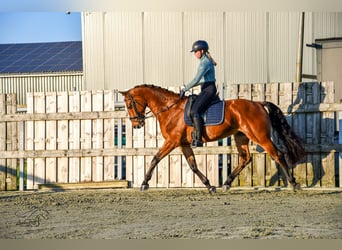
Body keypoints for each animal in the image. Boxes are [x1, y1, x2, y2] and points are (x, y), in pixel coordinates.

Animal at [119, 84, 306, 193]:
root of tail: (258, 103)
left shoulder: (172, 141)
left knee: (278, 155)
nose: (137, 125)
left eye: (129, 104)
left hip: (260, 136)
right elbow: (193, 166)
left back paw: (293, 183)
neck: (170, 108)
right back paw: (227, 183)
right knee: (245, 158)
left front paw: (144, 183)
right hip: (241, 137)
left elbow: (155, 159)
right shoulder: (183, 144)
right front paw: (209, 185)